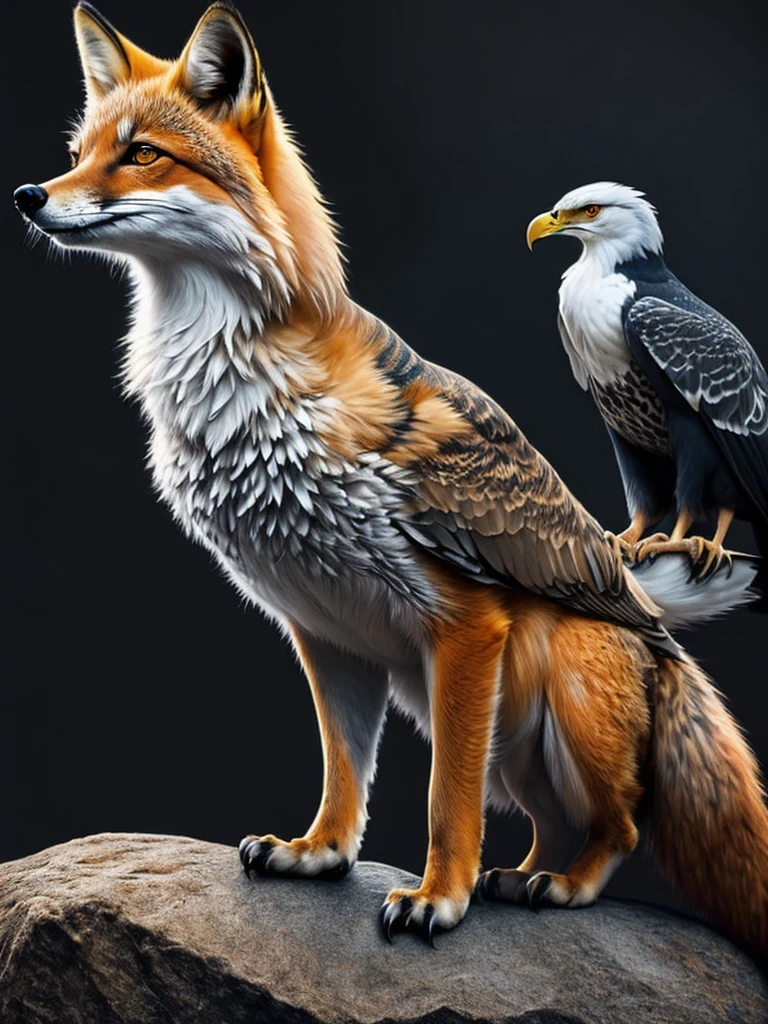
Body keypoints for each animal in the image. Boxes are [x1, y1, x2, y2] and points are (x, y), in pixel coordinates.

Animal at [14, 2, 768, 967]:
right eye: (78, 152)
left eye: (142, 153)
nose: (29, 197)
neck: (247, 389)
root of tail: (641, 599)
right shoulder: (325, 629)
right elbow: (345, 774)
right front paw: (320, 853)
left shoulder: (464, 628)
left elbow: (445, 800)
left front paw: (438, 899)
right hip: (512, 745)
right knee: (550, 822)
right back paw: (523, 876)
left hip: (554, 686)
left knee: (622, 824)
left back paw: (559, 885)